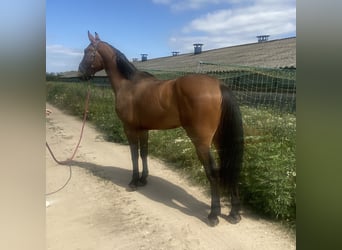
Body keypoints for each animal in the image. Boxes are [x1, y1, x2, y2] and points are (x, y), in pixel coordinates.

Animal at [78, 31, 243, 227]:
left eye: (88, 51)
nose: (80, 73)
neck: (128, 84)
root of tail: (218, 85)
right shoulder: (143, 129)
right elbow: (143, 153)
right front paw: (143, 179)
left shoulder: (129, 129)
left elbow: (134, 155)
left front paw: (133, 182)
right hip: (219, 139)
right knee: (229, 166)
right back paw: (234, 213)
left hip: (201, 142)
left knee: (212, 172)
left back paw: (213, 214)